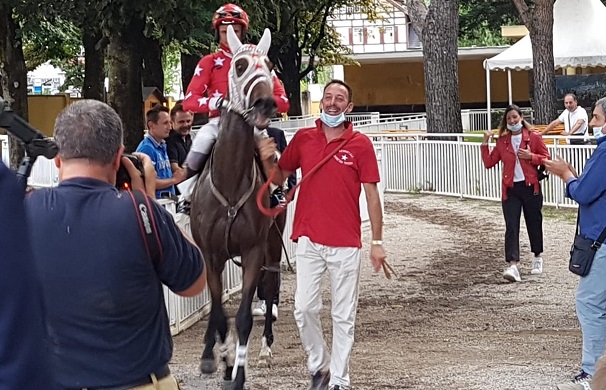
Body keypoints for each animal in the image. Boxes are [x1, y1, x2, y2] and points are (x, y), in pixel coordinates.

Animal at [190, 25, 282, 390]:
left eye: (269, 65)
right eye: (240, 65)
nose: (266, 102)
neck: (230, 185)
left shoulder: (254, 250)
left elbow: (242, 317)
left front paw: (238, 373)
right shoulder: (211, 254)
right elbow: (218, 312)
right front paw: (219, 359)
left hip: (273, 245)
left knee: (271, 287)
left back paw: (267, 347)